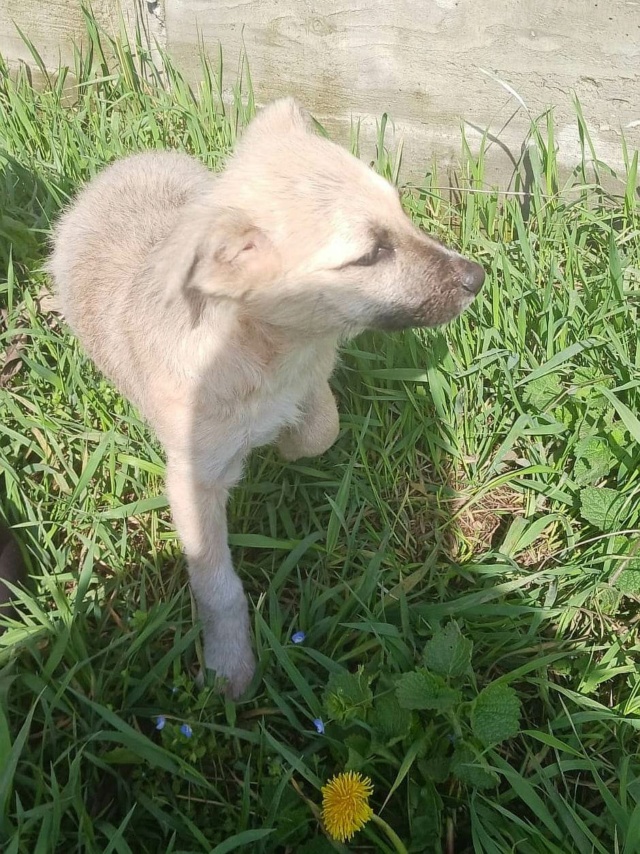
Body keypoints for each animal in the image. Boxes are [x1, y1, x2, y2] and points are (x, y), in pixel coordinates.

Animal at [47, 102, 482, 704]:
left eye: (400, 211)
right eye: (372, 254)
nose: (478, 278)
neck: (262, 346)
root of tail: (120, 168)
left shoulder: (311, 379)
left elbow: (321, 427)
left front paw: (288, 443)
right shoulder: (193, 481)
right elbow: (217, 585)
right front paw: (229, 664)